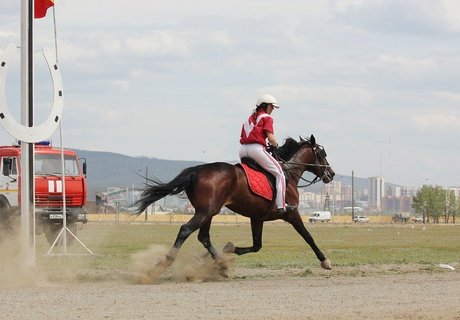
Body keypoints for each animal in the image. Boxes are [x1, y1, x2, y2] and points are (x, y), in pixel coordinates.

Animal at [136, 135, 334, 276]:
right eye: (322, 154)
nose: (331, 174)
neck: (288, 173)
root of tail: (197, 171)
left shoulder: (257, 218)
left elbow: (257, 245)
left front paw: (230, 248)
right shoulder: (291, 214)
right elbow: (308, 236)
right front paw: (325, 261)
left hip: (207, 213)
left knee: (204, 237)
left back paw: (221, 264)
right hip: (206, 212)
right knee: (185, 230)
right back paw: (165, 262)